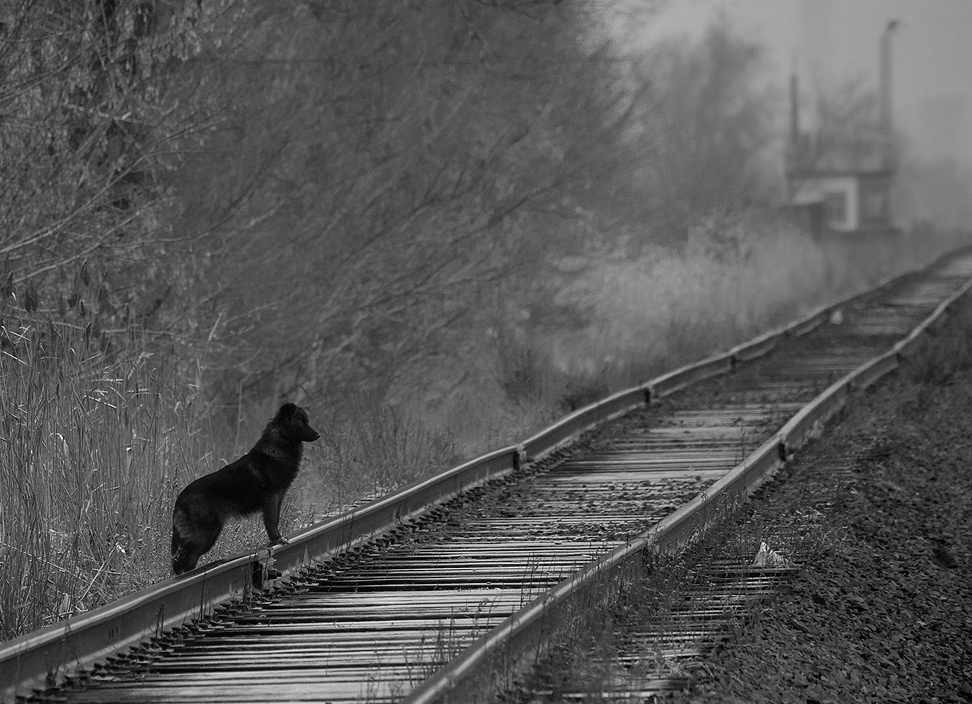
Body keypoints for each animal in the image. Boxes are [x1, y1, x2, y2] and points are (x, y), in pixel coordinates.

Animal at [168, 404, 318, 576]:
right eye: (301, 422)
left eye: (307, 421)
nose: (318, 435)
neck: (279, 445)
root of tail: (180, 499)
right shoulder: (272, 497)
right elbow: (271, 521)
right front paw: (277, 539)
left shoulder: (279, 497)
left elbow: (276, 519)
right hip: (203, 535)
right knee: (184, 559)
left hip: (210, 533)